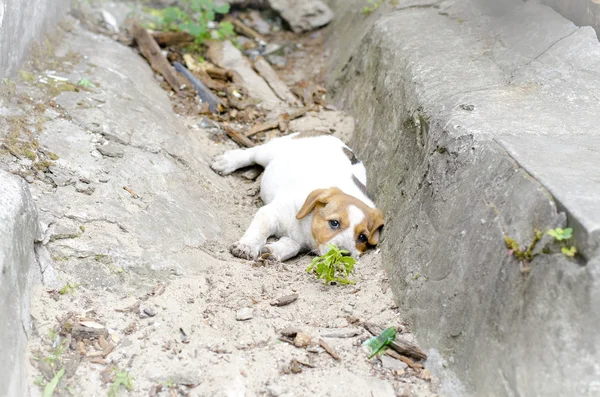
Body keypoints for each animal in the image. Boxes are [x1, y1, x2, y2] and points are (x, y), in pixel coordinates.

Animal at [212, 131, 384, 260]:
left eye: (362, 237)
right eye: (334, 223)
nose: (344, 254)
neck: (307, 230)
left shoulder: (298, 242)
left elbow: (292, 246)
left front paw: (273, 251)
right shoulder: (270, 213)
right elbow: (259, 231)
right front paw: (246, 247)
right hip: (268, 151)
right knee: (251, 153)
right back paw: (226, 162)